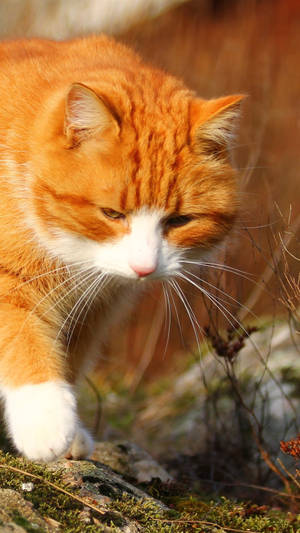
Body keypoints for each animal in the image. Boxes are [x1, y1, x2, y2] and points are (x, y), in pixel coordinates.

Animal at [0, 35, 244, 462]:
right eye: (112, 213)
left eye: (179, 221)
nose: (144, 268)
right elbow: (20, 336)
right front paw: (46, 422)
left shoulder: (93, 309)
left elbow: (70, 358)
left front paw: (72, 434)